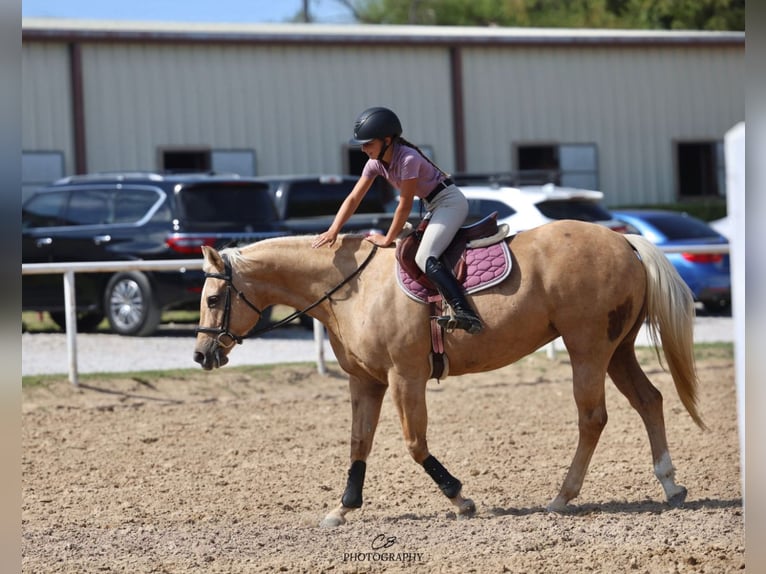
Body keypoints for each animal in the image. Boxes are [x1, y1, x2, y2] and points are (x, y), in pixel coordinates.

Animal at [193, 219, 704, 528]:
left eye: (214, 299)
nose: (200, 355)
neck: (352, 288)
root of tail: (623, 240)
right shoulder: (366, 381)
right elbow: (359, 443)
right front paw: (342, 508)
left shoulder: (405, 378)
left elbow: (415, 444)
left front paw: (461, 499)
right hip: (617, 352)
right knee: (649, 400)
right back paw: (671, 484)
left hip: (588, 351)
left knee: (593, 419)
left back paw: (563, 496)